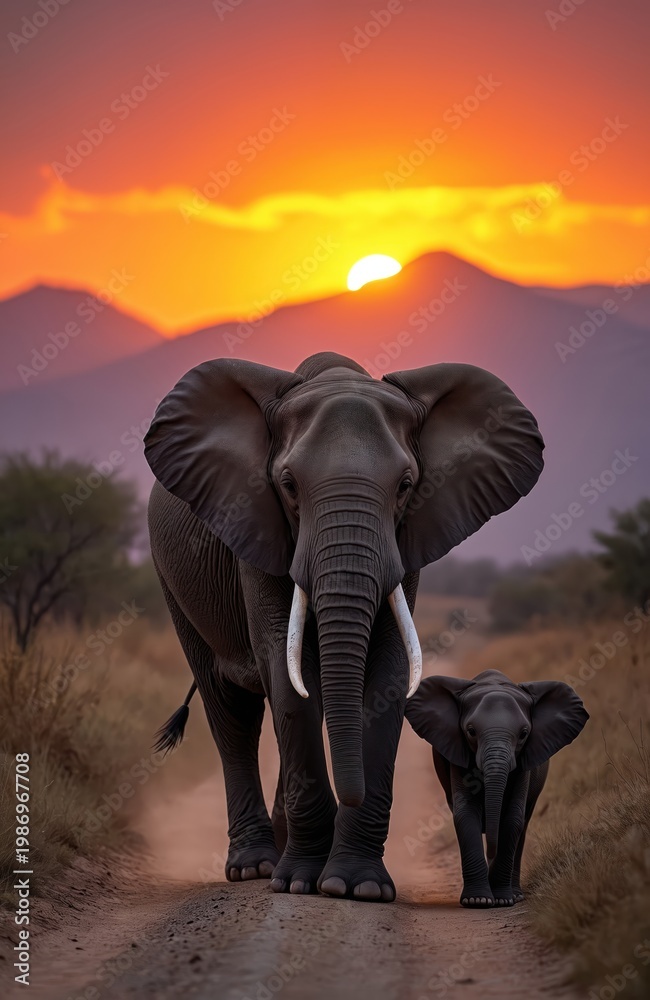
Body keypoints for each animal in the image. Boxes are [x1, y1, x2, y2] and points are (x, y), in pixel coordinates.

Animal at [143, 351, 544, 902]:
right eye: (288, 486)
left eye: (405, 486)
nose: (349, 799)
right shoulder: (260, 526)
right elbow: (289, 676)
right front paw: (301, 882)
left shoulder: (407, 541)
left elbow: (388, 674)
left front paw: (357, 886)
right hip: (174, 582)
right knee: (232, 710)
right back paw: (254, 867)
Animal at [405, 669, 589, 907]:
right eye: (471, 731)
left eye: (524, 733)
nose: (491, 853)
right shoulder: (458, 753)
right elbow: (466, 814)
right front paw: (478, 900)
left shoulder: (523, 764)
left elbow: (512, 818)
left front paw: (502, 900)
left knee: (524, 823)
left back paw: (516, 895)